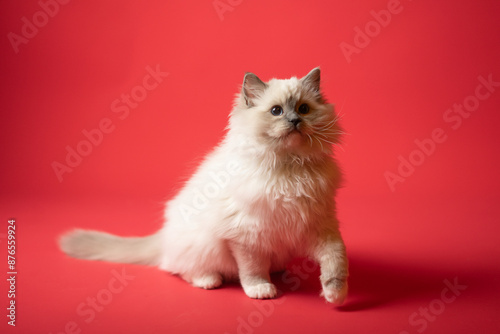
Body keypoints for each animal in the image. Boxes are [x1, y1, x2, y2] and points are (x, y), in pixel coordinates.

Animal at [59, 68, 348, 306]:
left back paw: (277, 269)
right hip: (203, 245)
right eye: (276, 111)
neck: (291, 168)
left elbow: (336, 260)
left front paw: (335, 295)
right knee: (179, 269)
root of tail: (163, 236)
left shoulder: (321, 226)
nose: (295, 121)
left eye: (303, 109)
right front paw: (260, 290)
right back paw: (209, 280)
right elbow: (252, 270)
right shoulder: (245, 237)